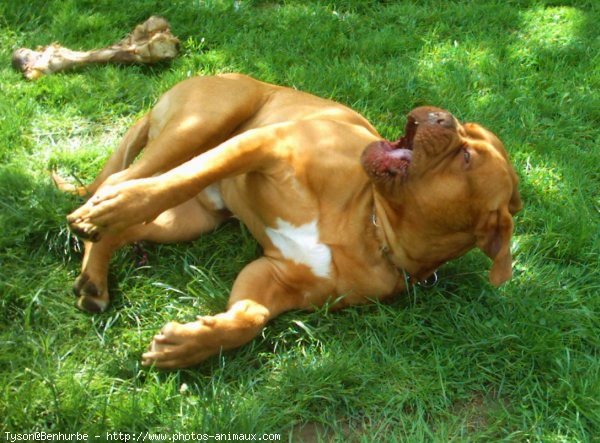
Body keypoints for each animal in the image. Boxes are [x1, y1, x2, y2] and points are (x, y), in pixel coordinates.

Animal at [58, 74, 524, 370]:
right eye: (465, 133)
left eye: (467, 158)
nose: (444, 115)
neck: (371, 227)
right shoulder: (265, 144)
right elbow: (185, 177)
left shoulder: (273, 277)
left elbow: (249, 318)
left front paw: (189, 345)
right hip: (205, 122)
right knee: (128, 181)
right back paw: (107, 209)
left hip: (188, 221)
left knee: (127, 227)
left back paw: (94, 278)